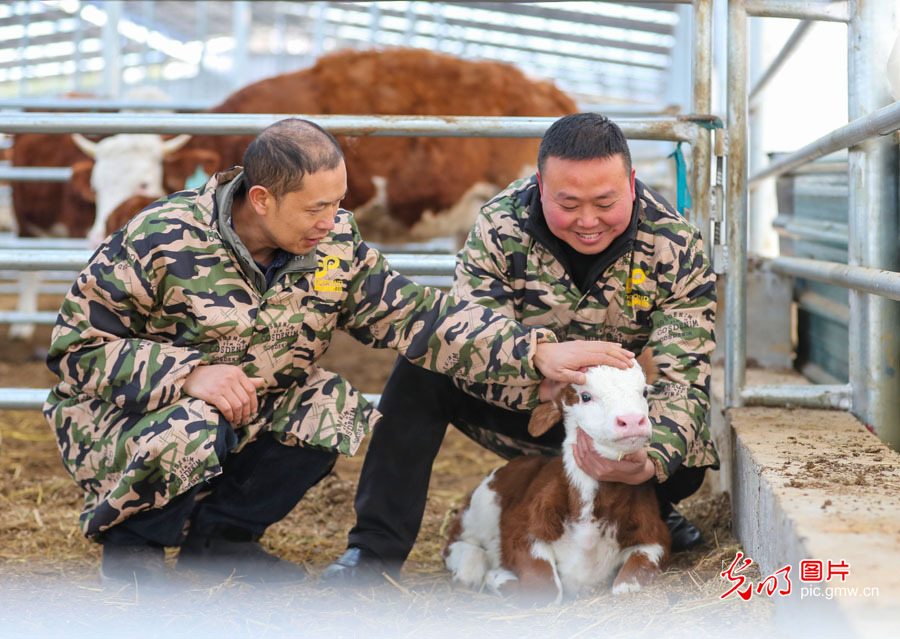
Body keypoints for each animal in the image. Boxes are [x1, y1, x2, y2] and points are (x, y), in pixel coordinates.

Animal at [442, 356, 668, 604]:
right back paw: (468, 569)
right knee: (456, 541)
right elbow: (546, 591)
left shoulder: (656, 537)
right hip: (483, 505)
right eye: (585, 396)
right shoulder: (522, 532)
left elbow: (626, 585)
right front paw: (497, 577)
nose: (632, 420)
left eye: (644, 391)